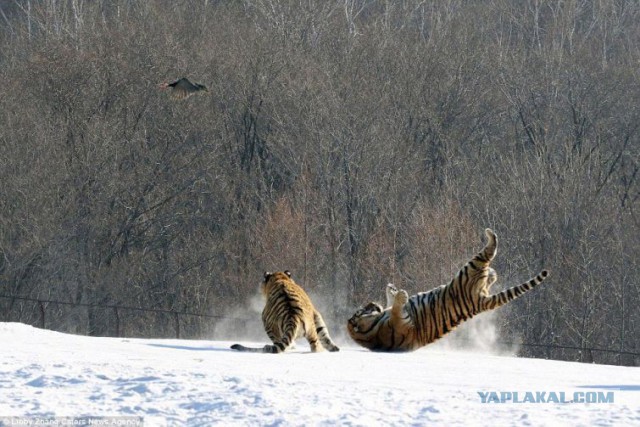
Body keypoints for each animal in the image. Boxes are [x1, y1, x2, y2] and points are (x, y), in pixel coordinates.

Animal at [348, 229, 548, 352]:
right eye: (363, 310)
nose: (372, 303)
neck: (372, 331)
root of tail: (480, 300)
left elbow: (391, 301)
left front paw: (392, 289)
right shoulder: (402, 324)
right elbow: (397, 309)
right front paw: (401, 294)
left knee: (490, 273)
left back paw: (493, 272)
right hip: (468, 271)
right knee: (489, 251)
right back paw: (490, 236)